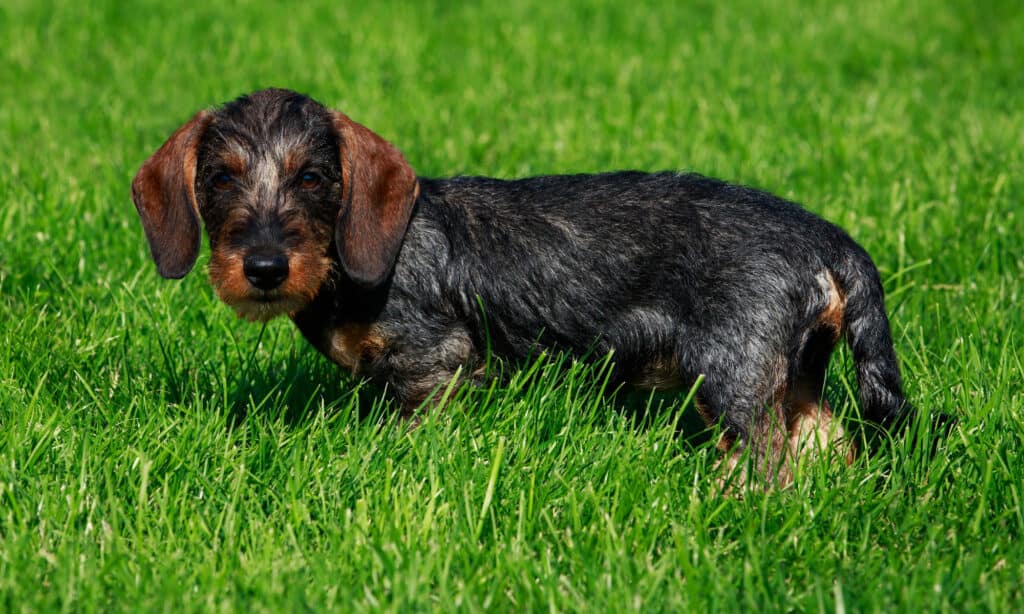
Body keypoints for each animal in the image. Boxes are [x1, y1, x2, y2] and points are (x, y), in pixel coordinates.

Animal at [134, 88, 913, 483]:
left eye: (313, 177)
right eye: (220, 178)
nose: (264, 268)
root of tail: (829, 238)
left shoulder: (436, 360)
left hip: (733, 372)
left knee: (768, 456)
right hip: (793, 373)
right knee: (824, 440)